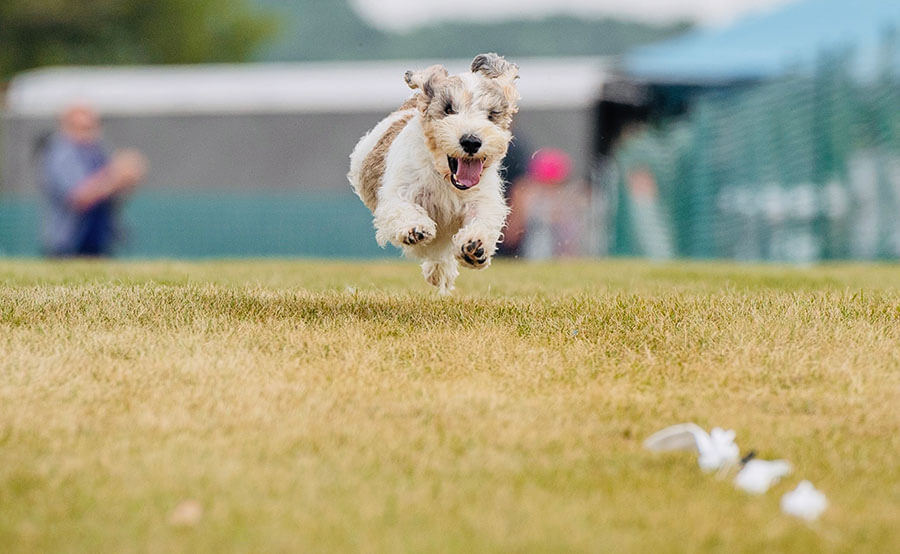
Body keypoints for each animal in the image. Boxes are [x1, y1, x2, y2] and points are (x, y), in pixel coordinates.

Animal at [352, 52, 520, 294]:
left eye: (491, 115)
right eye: (449, 109)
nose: (471, 141)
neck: (444, 177)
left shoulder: (481, 198)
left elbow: (482, 219)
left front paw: (475, 246)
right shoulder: (399, 192)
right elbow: (403, 208)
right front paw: (415, 228)